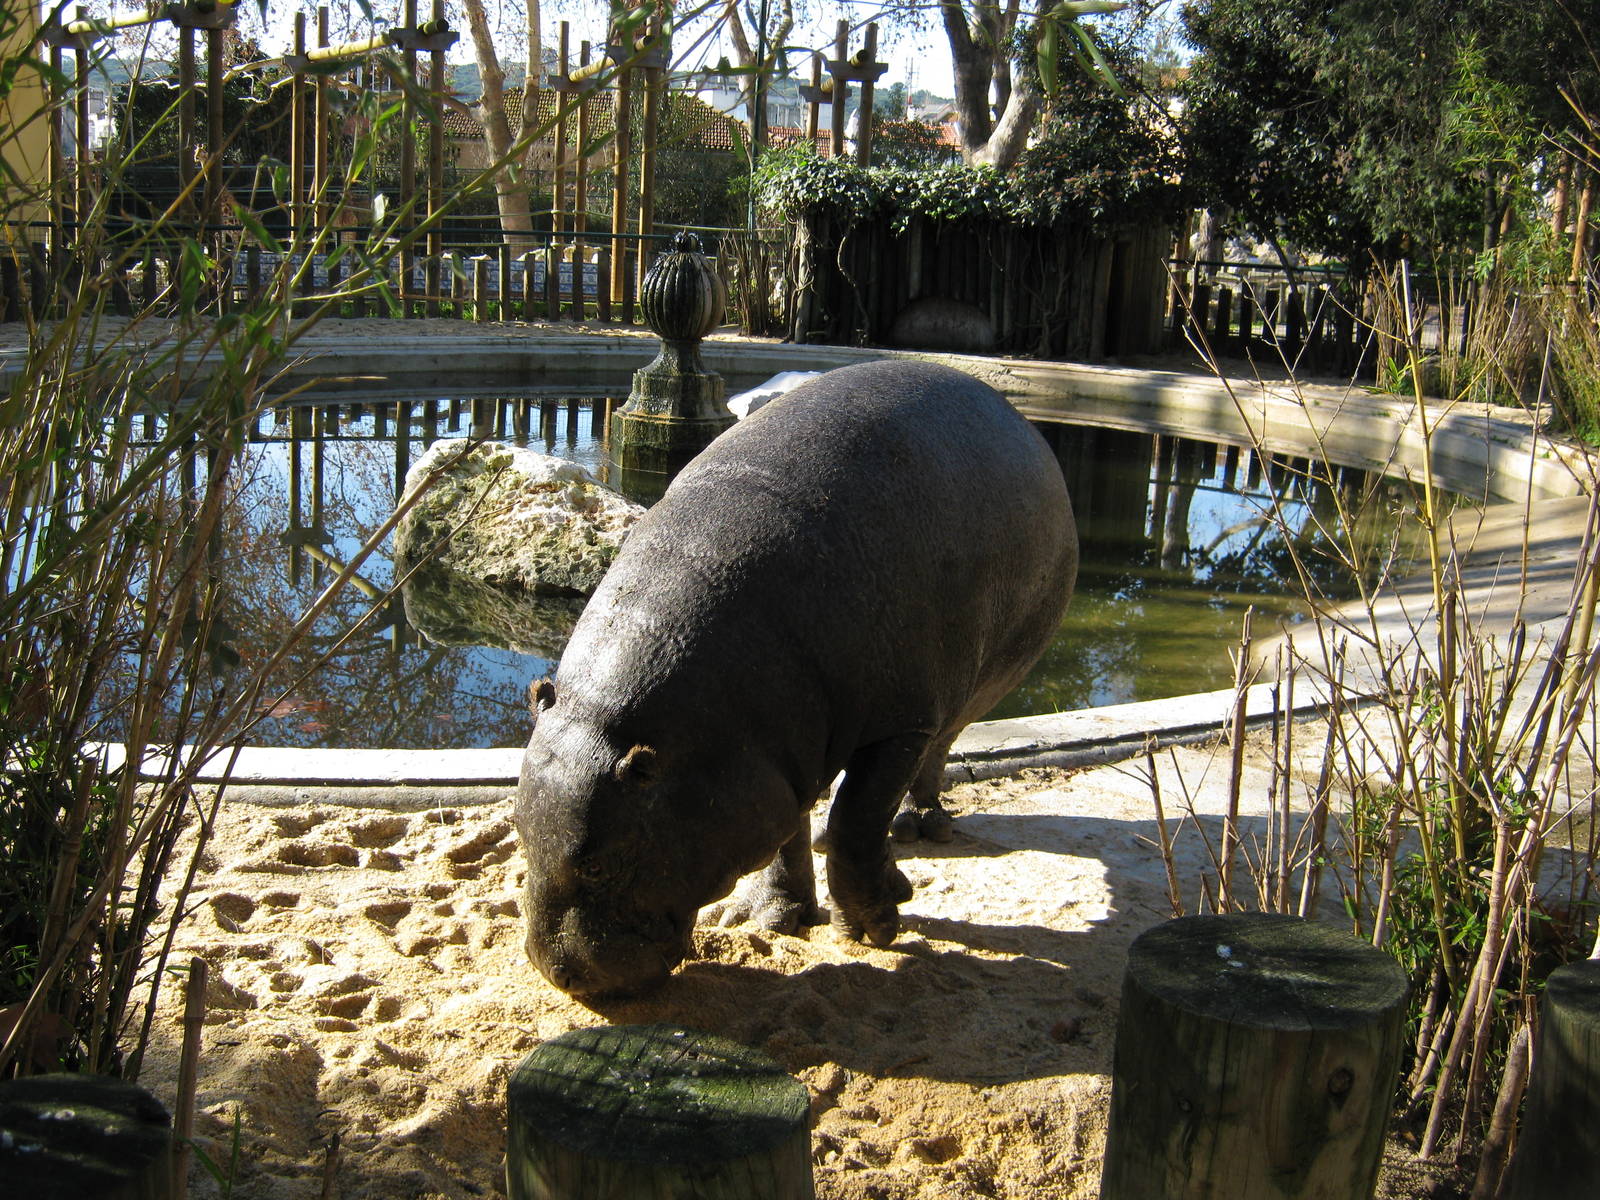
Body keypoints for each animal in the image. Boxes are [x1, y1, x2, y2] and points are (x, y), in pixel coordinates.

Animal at [516, 360, 1078, 996]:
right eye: (520, 831)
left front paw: (876, 928)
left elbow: (857, 821)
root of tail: (1012, 411)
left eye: (596, 863)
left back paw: (921, 829)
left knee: (936, 755)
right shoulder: (777, 755)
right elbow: (787, 833)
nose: (557, 973)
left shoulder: (899, 725)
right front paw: (775, 918)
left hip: (965, 690)